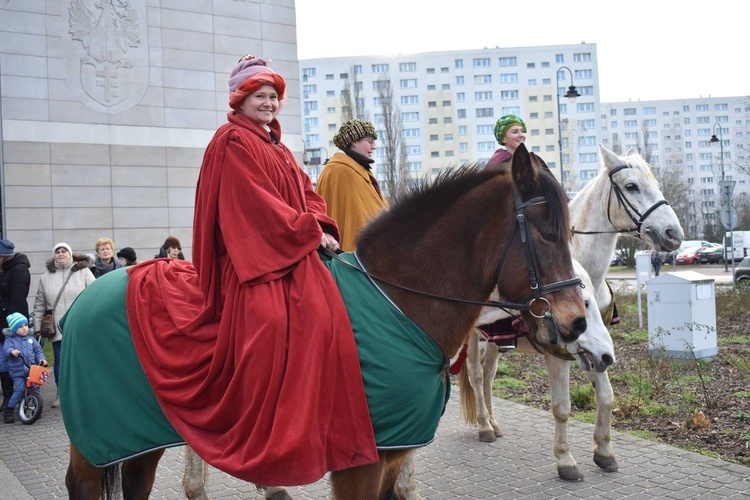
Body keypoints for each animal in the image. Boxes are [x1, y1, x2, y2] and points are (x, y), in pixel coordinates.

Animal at [64, 143, 592, 498]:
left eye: (569, 231)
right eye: (547, 234)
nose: (577, 322)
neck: (399, 301)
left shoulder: (392, 456)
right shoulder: (361, 465)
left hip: (138, 438)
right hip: (93, 444)